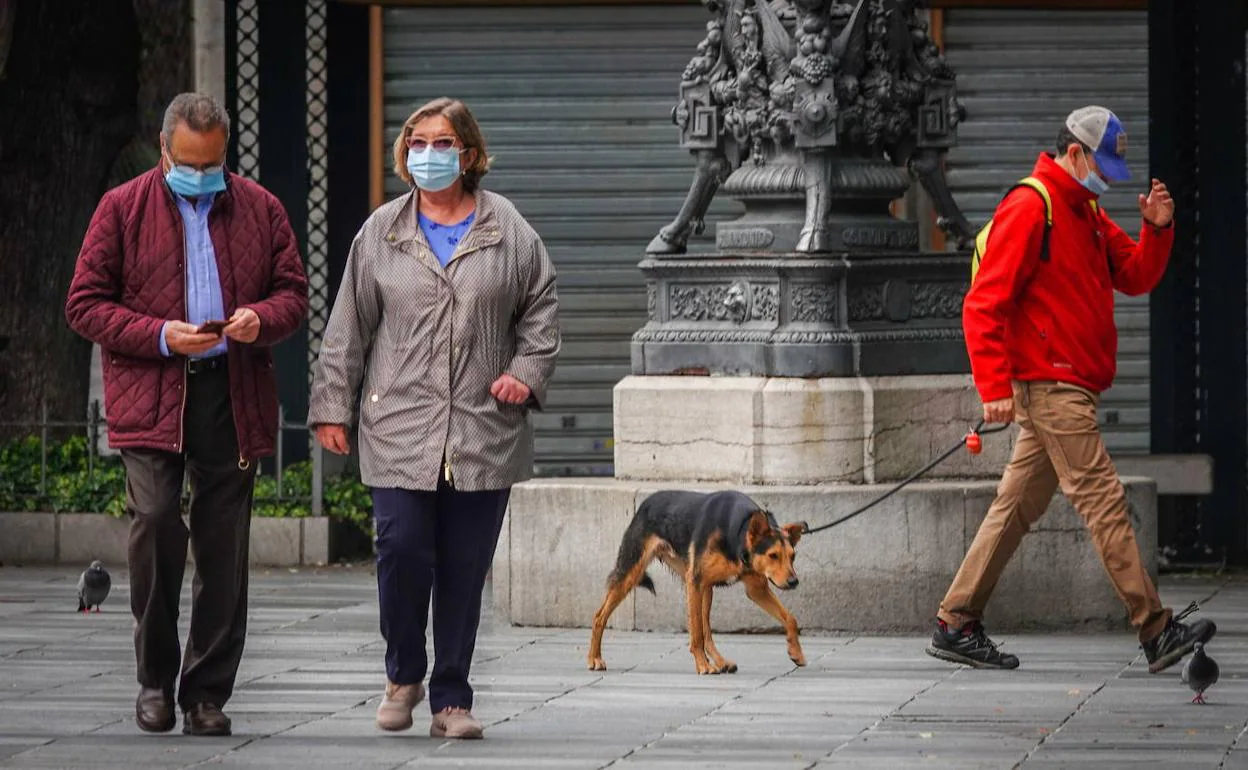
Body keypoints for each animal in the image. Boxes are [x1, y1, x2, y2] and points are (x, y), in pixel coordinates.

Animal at [586, 489, 803, 673]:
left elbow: (790, 619)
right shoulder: (695, 582)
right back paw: (594, 658)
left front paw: (796, 652)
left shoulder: (757, 589)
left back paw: (721, 662)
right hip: (631, 573)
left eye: (793, 556)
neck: (737, 530)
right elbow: (696, 633)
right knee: (599, 617)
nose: (794, 582)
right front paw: (702, 665)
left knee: (707, 631)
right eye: (773, 555)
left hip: (705, 590)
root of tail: (644, 503)